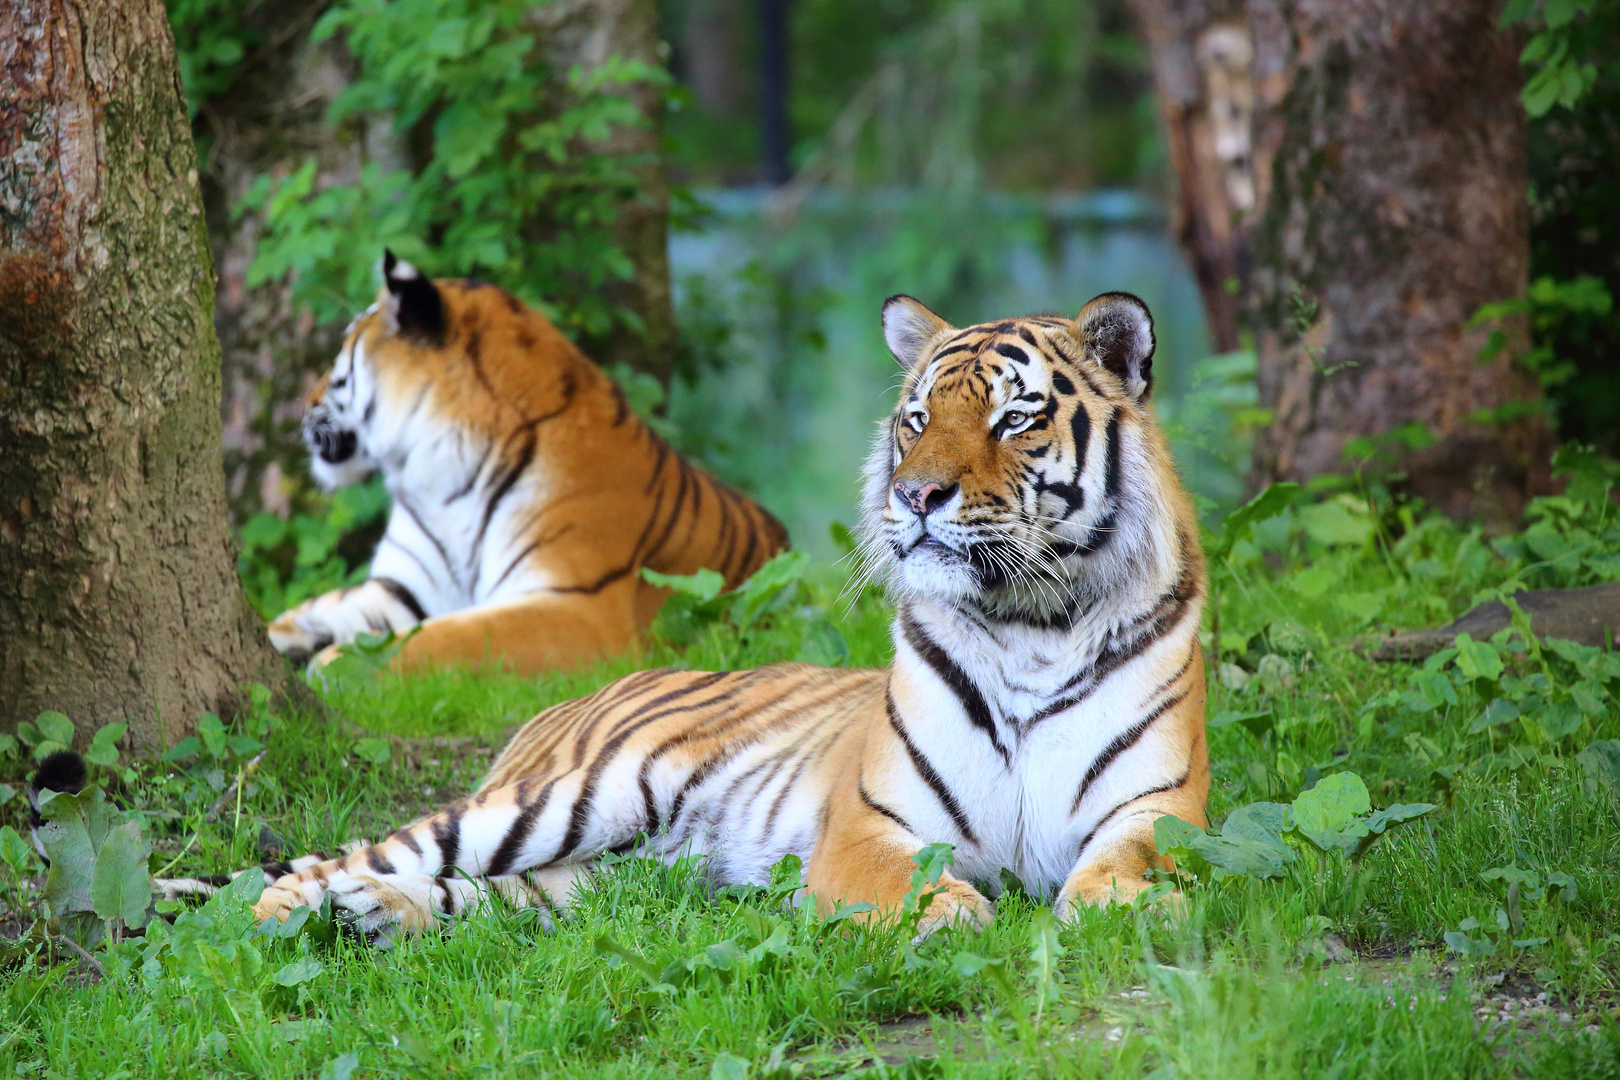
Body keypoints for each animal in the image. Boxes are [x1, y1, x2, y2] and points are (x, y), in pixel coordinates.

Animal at [265, 254, 790, 676]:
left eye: (341, 358)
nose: (301, 406)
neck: (438, 478)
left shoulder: (580, 606)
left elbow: (447, 637)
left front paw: (336, 664)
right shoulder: (400, 589)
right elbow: (346, 609)